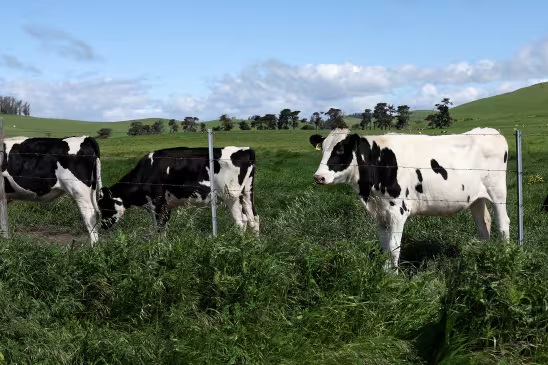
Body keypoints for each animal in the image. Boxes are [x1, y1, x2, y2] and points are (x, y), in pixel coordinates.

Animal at [98, 145, 260, 233]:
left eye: (105, 207)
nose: (103, 226)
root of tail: (245, 150)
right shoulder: (167, 206)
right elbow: (164, 227)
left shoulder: (157, 204)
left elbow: (159, 228)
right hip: (247, 192)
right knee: (254, 218)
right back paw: (254, 245)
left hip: (230, 196)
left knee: (241, 222)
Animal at [310, 127, 512, 268]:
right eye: (323, 149)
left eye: (340, 150)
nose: (319, 177)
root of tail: (489, 131)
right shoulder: (380, 212)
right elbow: (385, 247)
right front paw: (385, 273)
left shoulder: (397, 211)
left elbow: (393, 247)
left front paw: (393, 278)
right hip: (476, 198)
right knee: (483, 224)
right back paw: (483, 255)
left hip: (498, 192)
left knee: (503, 224)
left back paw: (505, 255)